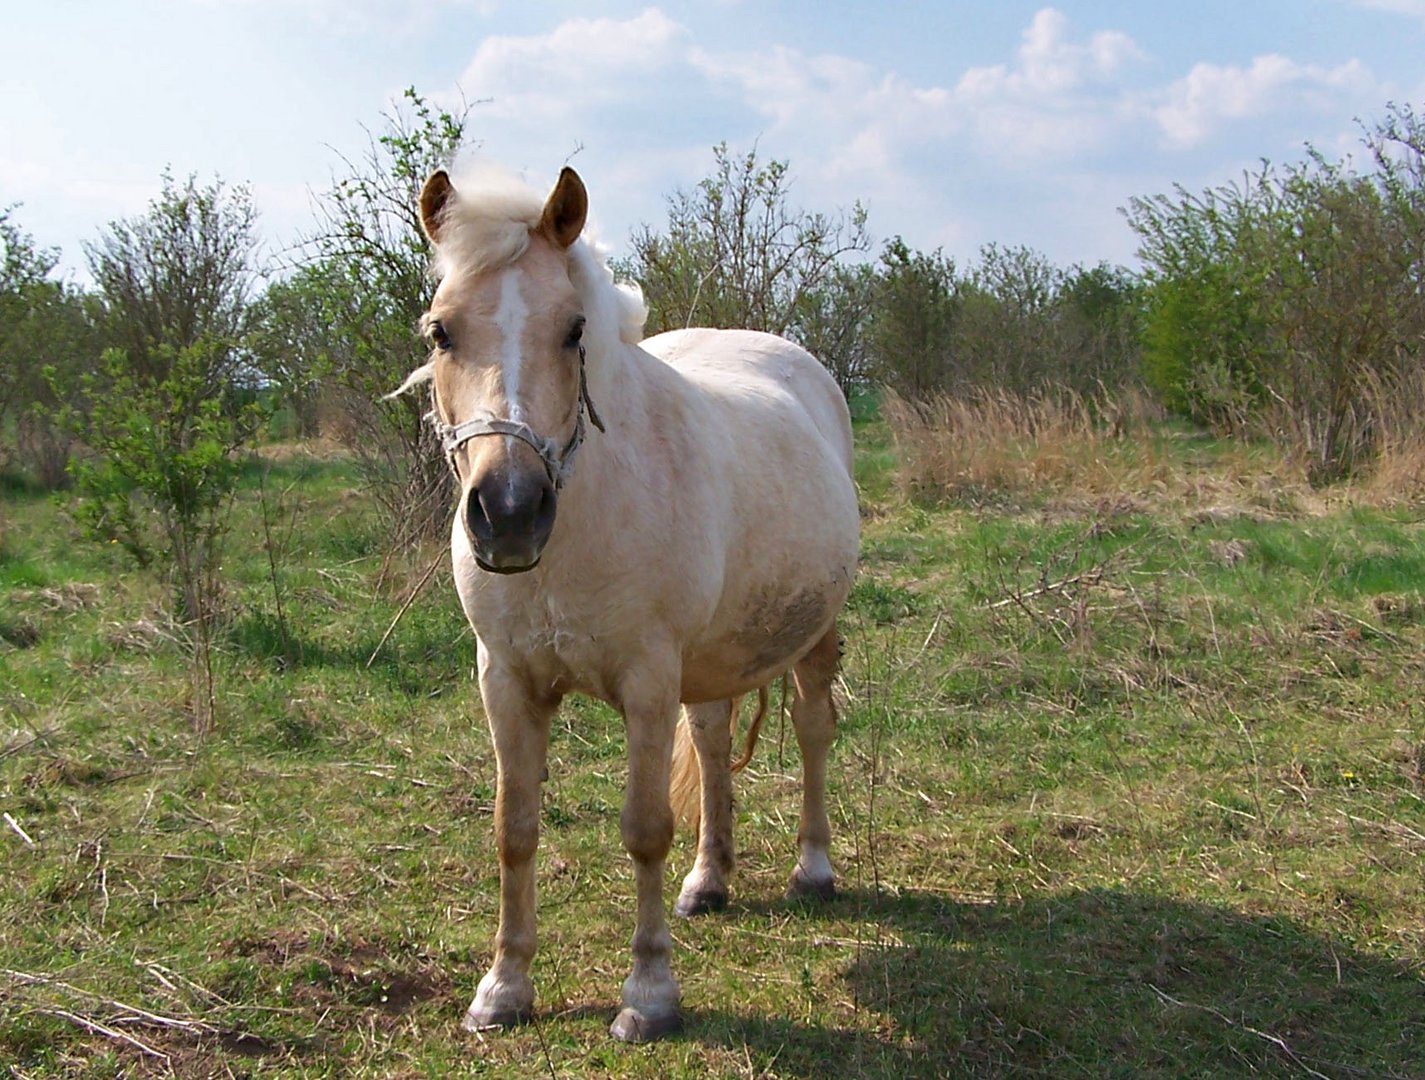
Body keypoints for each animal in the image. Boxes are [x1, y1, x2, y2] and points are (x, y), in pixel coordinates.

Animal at [393, 165, 855, 1042]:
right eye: (440, 333)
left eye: (573, 330)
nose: (509, 512)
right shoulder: (505, 681)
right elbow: (514, 829)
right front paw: (502, 988)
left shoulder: (645, 682)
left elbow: (644, 832)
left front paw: (648, 994)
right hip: (707, 663)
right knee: (711, 741)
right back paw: (709, 881)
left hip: (813, 634)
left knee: (813, 729)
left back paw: (812, 867)